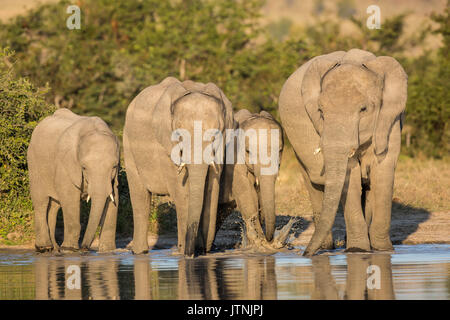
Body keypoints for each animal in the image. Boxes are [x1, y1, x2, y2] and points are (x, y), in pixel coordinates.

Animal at [27, 107, 120, 252]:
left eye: (114, 166)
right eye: (84, 167)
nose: (85, 248)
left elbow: (113, 197)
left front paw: (108, 250)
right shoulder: (66, 163)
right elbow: (69, 196)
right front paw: (70, 249)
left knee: (54, 206)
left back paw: (55, 249)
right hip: (34, 163)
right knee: (41, 202)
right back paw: (44, 247)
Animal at [124, 76, 234, 256]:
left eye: (215, 135)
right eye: (179, 135)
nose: (195, 252)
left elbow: (212, 189)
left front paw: (199, 251)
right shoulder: (165, 146)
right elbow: (182, 192)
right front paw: (185, 253)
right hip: (128, 145)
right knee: (140, 198)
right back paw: (140, 253)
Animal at [218, 109, 284, 246]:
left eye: (280, 151)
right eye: (248, 151)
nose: (270, 239)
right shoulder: (233, 159)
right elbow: (246, 191)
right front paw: (259, 241)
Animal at [278, 48, 408, 256]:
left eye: (363, 109)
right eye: (320, 111)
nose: (303, 254)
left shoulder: (390, 120)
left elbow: (383, 171)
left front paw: (383, 251)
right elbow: (350, 178)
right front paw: (358, 251)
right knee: (314, 182)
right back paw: (326, 247)